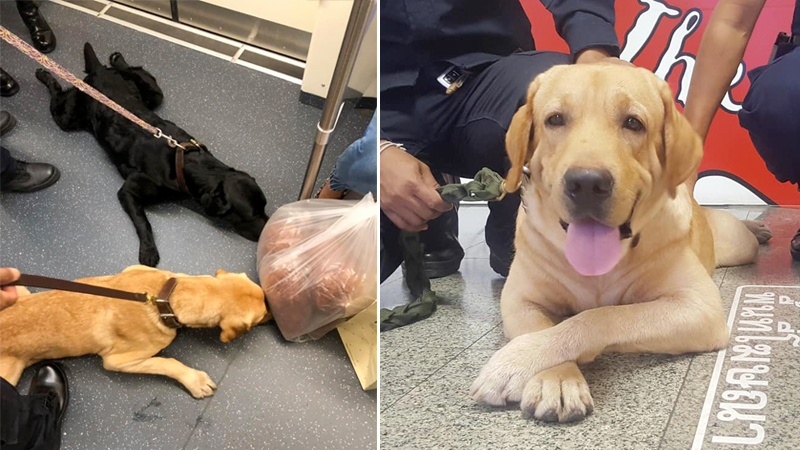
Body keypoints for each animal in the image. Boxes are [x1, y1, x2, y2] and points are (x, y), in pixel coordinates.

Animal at [0, 266, 270, 400]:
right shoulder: (119, 361)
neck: (166, 299)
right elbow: (168, 362)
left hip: (17, 289)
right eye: (262, 314)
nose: (273, 315)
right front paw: (195, 380)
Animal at [36, 42, 268, 268]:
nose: (268, 226)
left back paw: (117, 59)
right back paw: (44, 73)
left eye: (264, 207)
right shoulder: (128, 192)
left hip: (154, 94)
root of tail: (98, 71)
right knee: (57, 93)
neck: (184, 163)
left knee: (134, 70)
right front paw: (148, 251)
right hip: (67, 117)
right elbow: (143, 223)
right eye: (253, 214)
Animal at [468, 62, 768, 422]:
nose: (586, 183)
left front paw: (515, 361)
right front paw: (556, 379)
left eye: (633, 123)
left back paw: (757, 226)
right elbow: (539, 327)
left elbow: (600, 317)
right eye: (555, 119)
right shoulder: (519, 300)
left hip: (738, 246)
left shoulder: (698, 307)